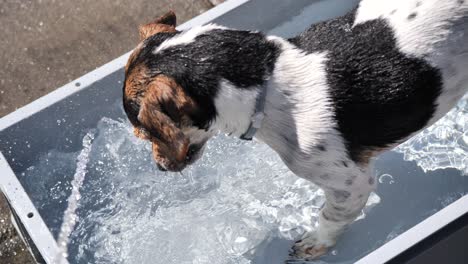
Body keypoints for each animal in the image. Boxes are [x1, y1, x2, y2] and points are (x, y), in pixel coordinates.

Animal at [122, 0, 468, 260]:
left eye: (146, 133)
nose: (159, 168)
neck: (267, 80)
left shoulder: (351, 185)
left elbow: (329, 218)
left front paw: (315, 245)